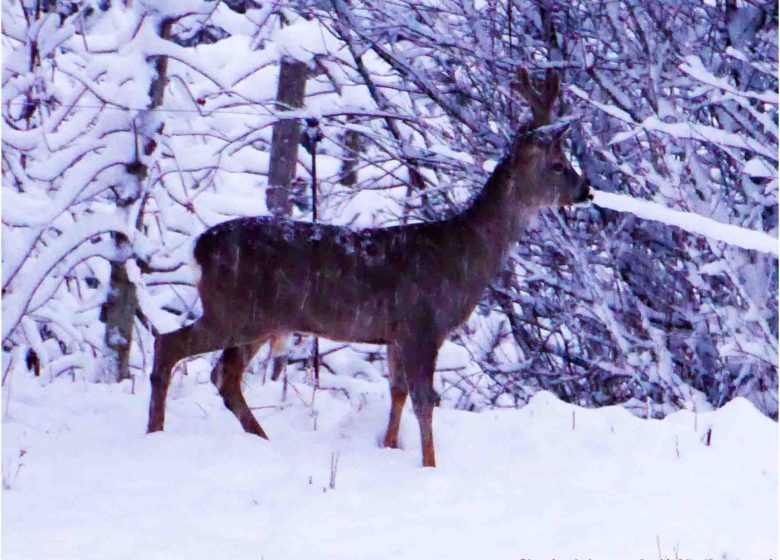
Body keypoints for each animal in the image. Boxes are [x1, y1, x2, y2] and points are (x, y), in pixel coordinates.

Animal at [146, 66, 588, 468]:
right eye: (558, 164)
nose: (586, 189)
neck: (464, 253)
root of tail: (200, 247)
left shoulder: (394, 334)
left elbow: (398, 393)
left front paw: (390, 448)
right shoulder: (423, 324)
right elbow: (424, 401)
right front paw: (430, 466)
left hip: (257, 319)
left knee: (224, 376)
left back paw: (259, 439)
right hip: (236, 311)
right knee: (170, 346)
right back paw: (156, 431)